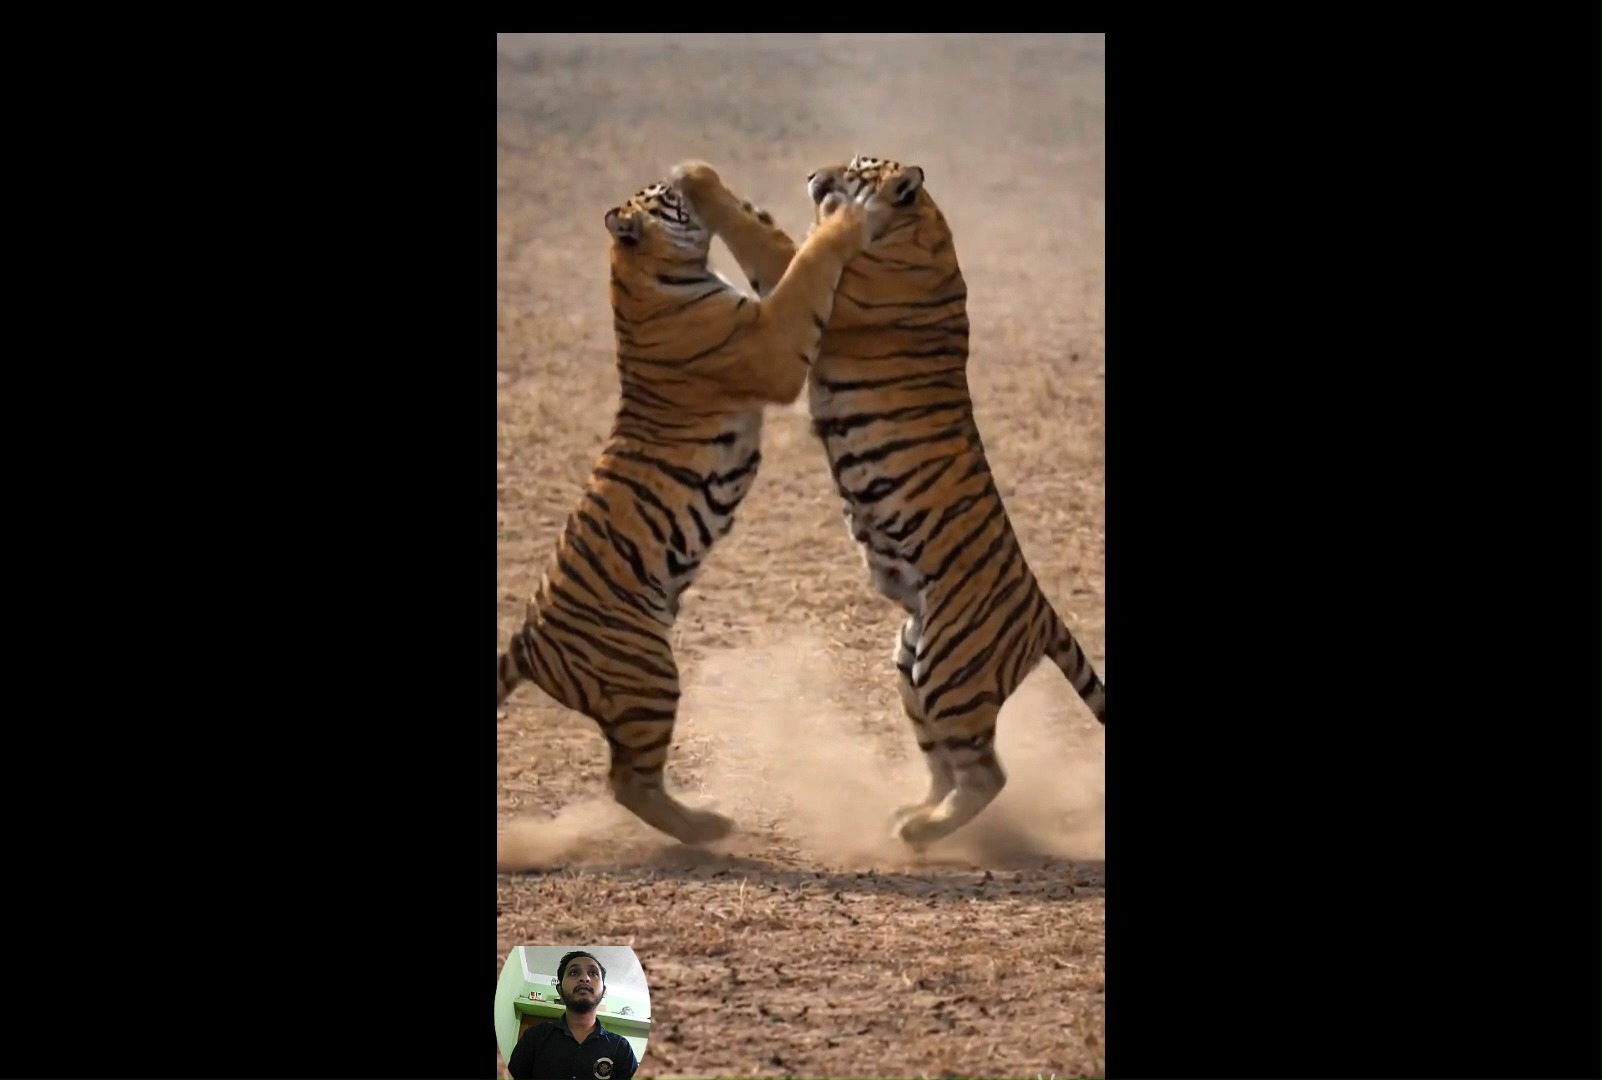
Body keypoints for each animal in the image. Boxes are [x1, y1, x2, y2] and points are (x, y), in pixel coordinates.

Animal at [495, 163, 892, 845]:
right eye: (664, 196)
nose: (673, 177)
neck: (637, 276)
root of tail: (527, 640)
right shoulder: (772, 342)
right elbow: (809, 268)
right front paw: (840, 220)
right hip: (648, 677)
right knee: (629, 783)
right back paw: (709, 826)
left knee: (628, 779)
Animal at [679, 154, 1106, 848]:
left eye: (857, 167)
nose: (812, 173)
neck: (921, 225)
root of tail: (1042, 612)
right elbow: (773, 231)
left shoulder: (824, 296)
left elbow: (770, 244)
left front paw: (700, 181)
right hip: (912, 662)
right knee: (948, 764)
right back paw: (909, 813)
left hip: (950, 670)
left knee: (987, 774)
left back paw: (918, 835)